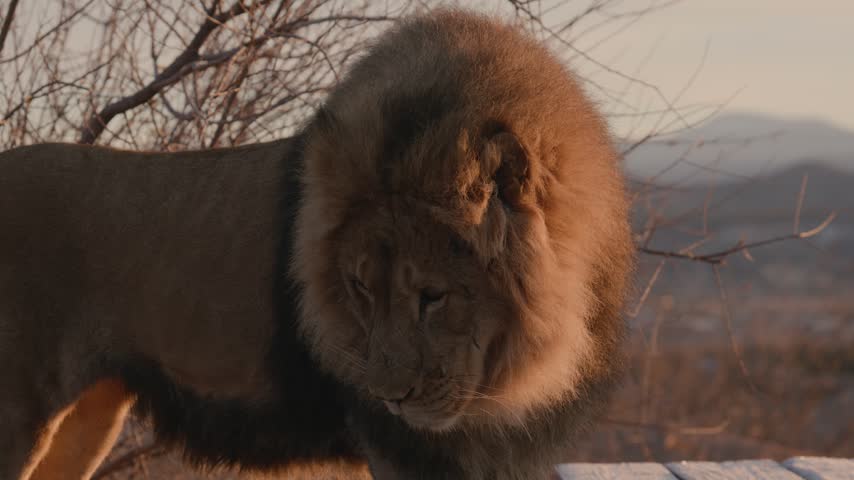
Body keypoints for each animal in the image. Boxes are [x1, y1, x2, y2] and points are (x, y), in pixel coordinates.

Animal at [0, 8, 634, 480]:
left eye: (433, 296)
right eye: (359, 288)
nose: (390, 398)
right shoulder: (402, 450)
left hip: (89, 417)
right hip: (22, 416)